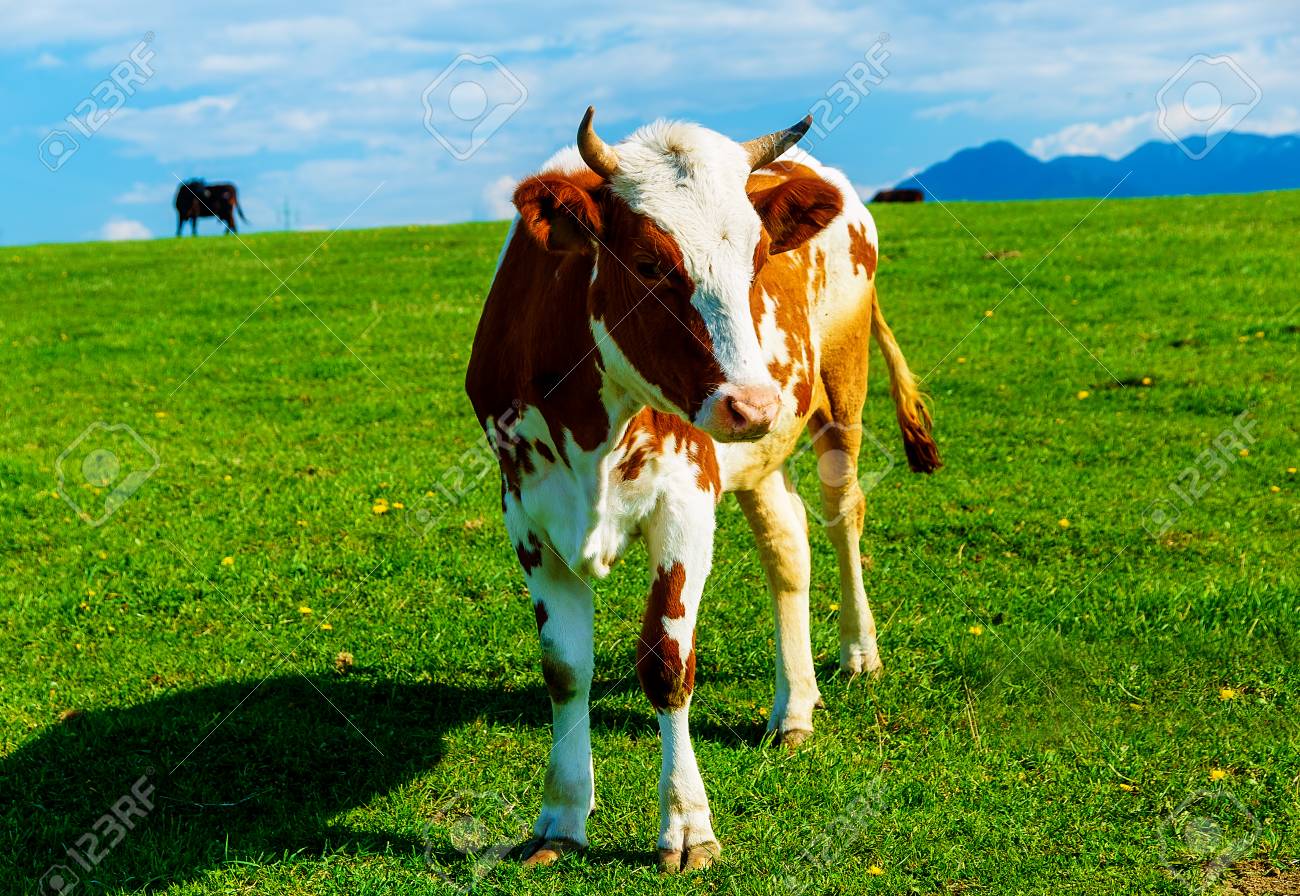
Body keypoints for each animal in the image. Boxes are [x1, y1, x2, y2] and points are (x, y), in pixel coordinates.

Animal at [465, 107, 940, 873]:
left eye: (757, 259)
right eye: (649, 263)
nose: (752, 403)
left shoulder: (685, 498)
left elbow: (666, 662)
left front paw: (687, 827)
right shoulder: (527, 514)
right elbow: (564, 669)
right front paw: (561, 818)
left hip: (842, 392)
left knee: (843, 519)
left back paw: (858, 651)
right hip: (760, 458)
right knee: (789, 548)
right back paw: (794, 707)